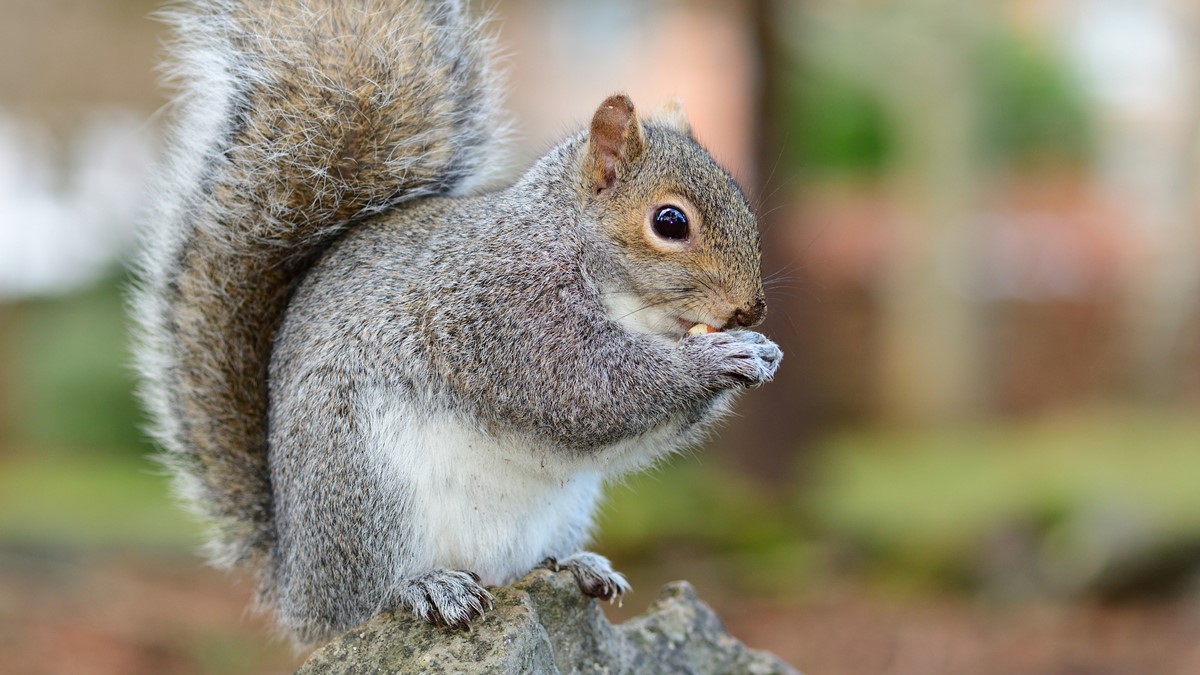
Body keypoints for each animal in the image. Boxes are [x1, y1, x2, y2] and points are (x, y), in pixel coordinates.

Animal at [136, 0, 782, 643]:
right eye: (670, 222)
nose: (749, 310)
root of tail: (297, 587)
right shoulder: (509, 311)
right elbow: (587, 390)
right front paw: (721, 357)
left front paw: (762, 351)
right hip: (361, 484)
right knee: (368, 597)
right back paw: (428, 587)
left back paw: (575, 565)